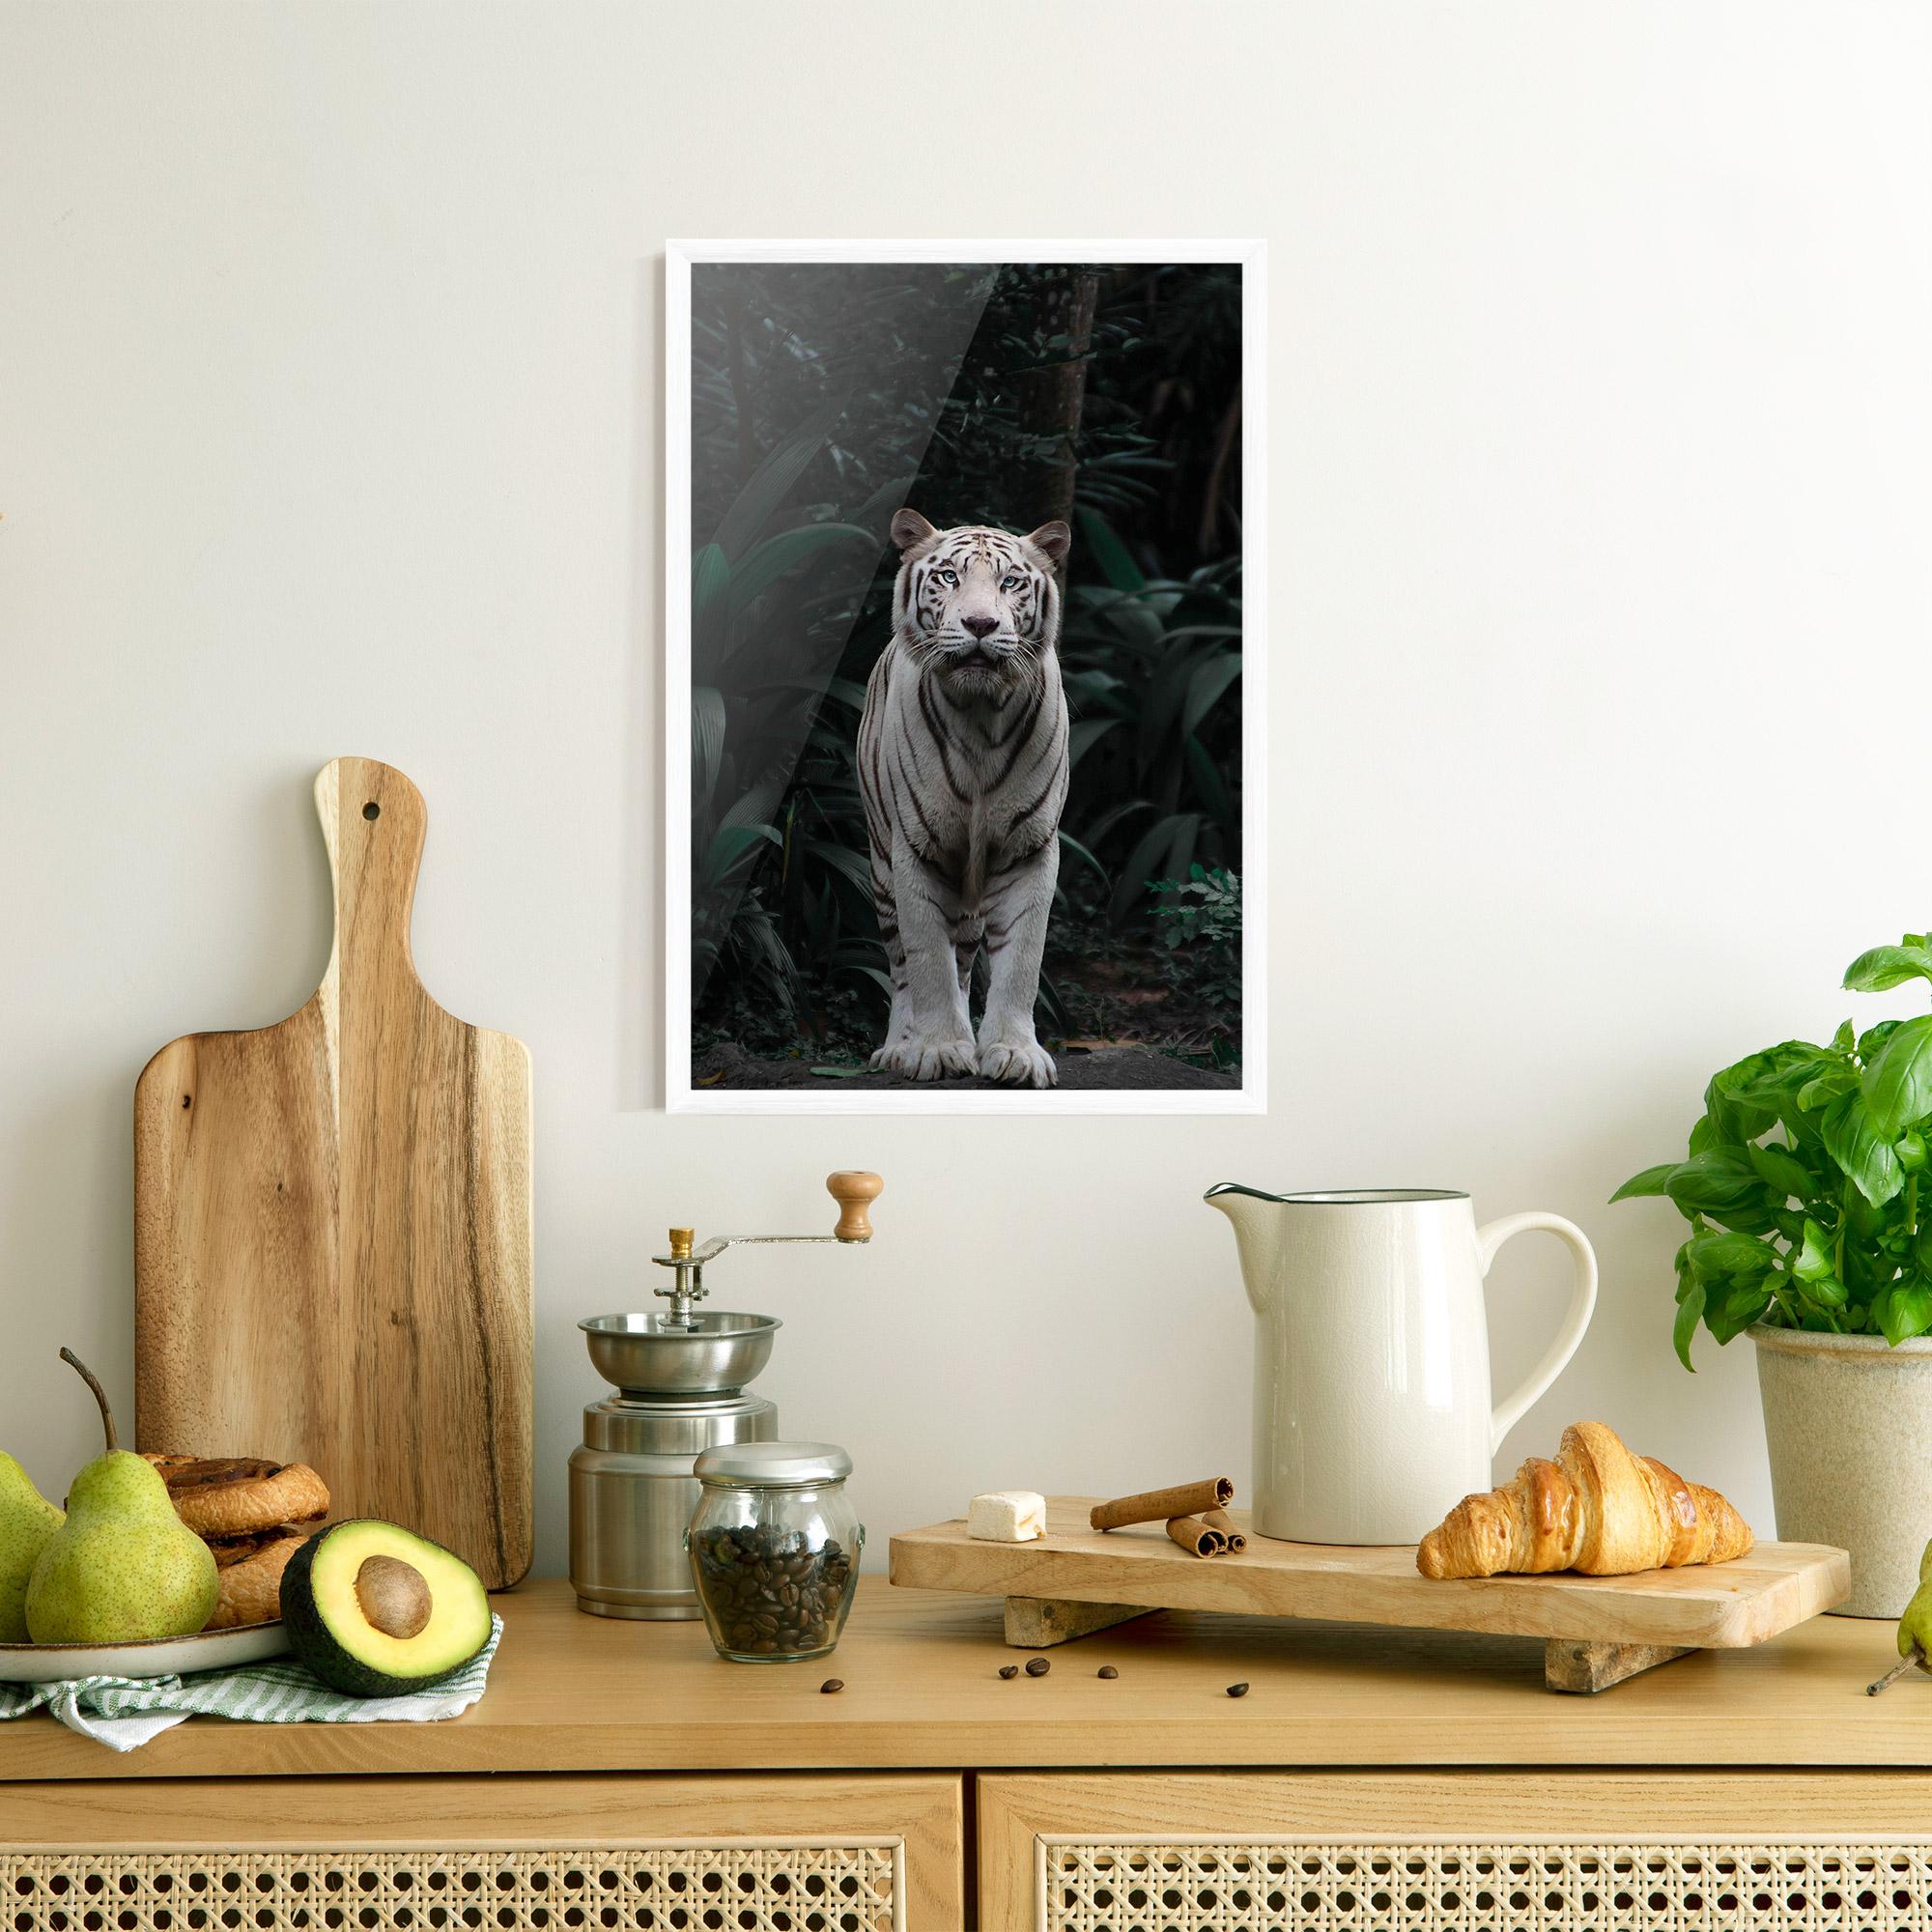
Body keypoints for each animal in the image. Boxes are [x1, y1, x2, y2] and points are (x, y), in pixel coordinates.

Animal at [856, 507, 1073, 1088]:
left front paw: (1015, 1053)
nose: (980, 625)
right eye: (949, 576)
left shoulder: (1030, 849)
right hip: (881, 867)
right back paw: (899, 1047)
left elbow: (1022, 961)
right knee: (903, 967)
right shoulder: (915, 849)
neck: (980, 716)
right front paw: (935, 1048)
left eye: (1010, 582)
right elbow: (927, 959)